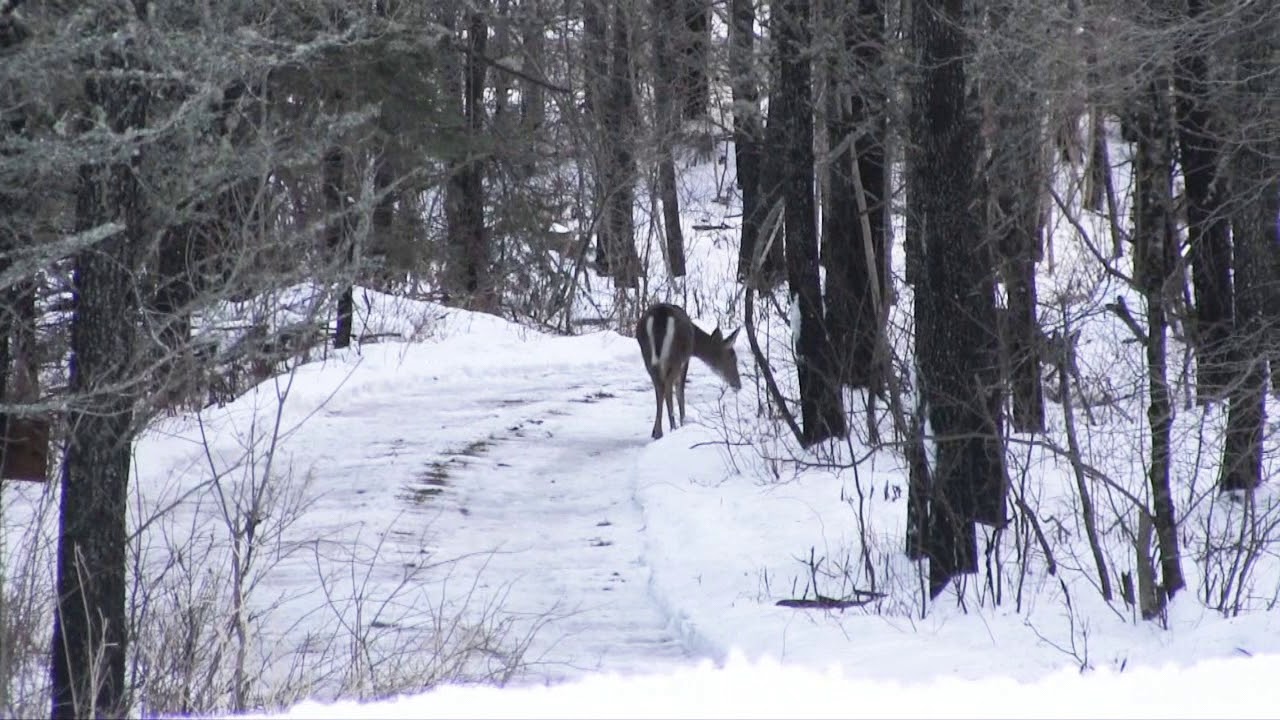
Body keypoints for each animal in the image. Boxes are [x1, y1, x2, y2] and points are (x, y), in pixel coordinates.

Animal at [636, 303, 742, 439]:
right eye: (733, 357)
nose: (738, 385)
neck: (695, 341)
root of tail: (660, 315)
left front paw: (655, 430)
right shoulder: (686, 360)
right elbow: (680, 390)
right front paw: (683, 422)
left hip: (647, 356)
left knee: (659, 386)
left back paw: (658, 432)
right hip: (676, 355)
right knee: (668, 385)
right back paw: (673, 427)